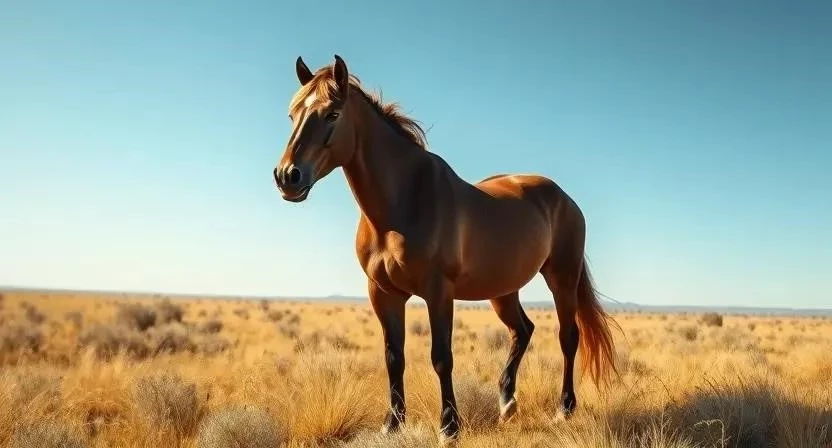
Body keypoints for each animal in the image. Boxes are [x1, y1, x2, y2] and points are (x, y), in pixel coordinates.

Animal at [272, 54, 620, 442]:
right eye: (292, 114)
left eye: (332, 113)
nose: (287, 176)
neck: (402, 203)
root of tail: (564, 198)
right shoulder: (383, 293)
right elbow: (394, 357)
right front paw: (392, 423)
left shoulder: (438, 292)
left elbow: (441, 357)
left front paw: (450, 427)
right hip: (503, 290)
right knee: (522, 330)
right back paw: (506, 403)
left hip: (562, 277)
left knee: (568, 336)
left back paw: (564, 409)